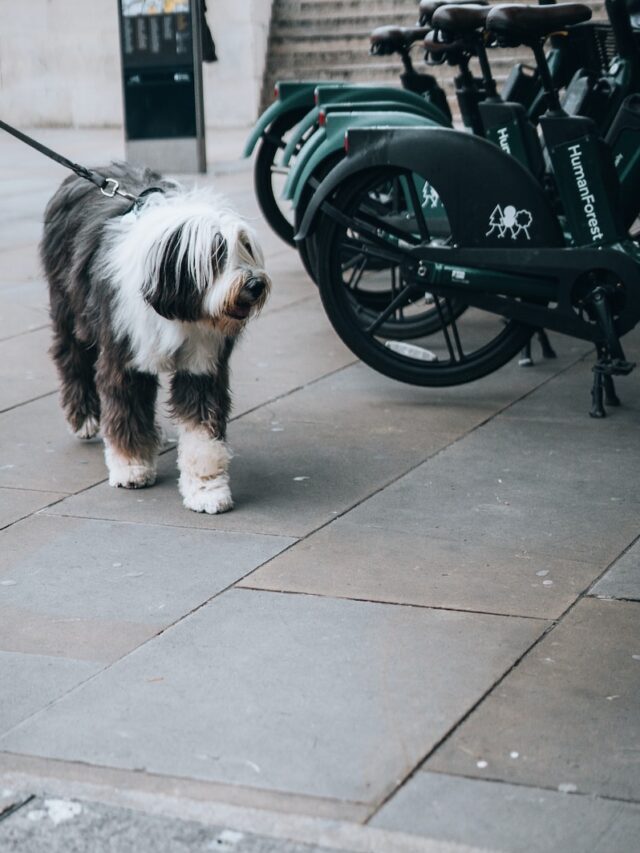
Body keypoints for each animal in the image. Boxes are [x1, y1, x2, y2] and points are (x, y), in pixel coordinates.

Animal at [40, 164, 270, 516]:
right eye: (217, 252)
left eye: (245, 244)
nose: (256, 284)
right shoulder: (125, 356)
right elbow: (126, 410)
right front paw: (131, 466)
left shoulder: (201, 366)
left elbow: (202, 433)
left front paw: (207, 488)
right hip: (69, 306)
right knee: (70, 357)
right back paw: (84, 417)